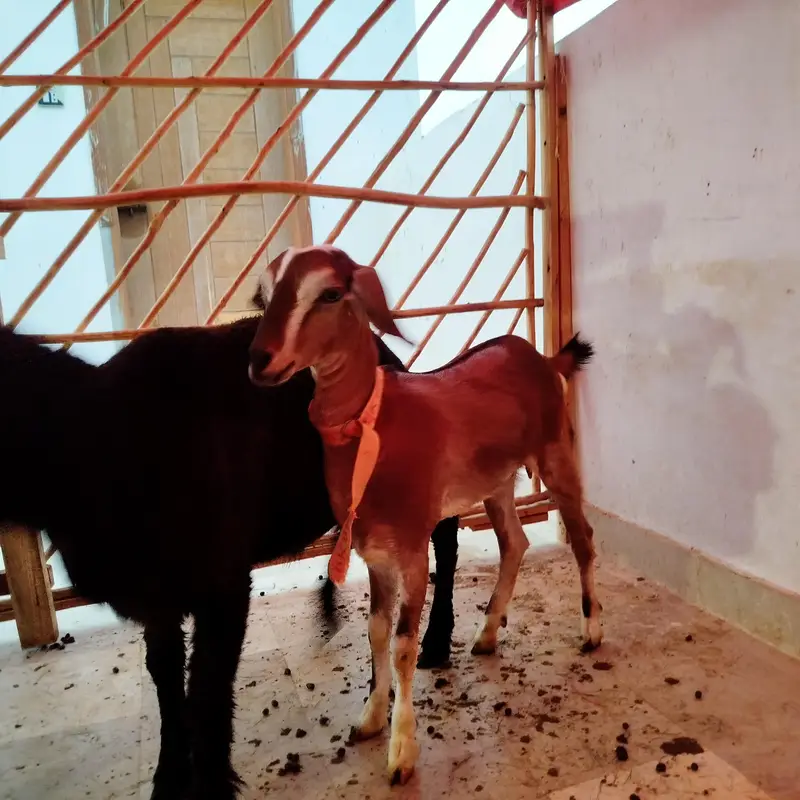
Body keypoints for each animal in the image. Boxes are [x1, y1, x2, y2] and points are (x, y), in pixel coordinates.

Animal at [0, 316, 459, 800]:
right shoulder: (156, 602)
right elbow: (165, 677)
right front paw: (168, 778)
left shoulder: (223, 589)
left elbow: (208, 683)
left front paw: (211, 783)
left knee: (445, 533)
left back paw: (435, 641)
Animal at [248, 244, 603, 785]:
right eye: (265, 295)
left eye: (331, 293)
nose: (259, 360)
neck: (376, 424)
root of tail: (542, 357)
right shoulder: (373, 551)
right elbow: (374, 631)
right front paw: (369, 721)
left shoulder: (413, 547)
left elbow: (401, 645)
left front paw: (402, 753)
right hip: (498, 482)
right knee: (515, 542)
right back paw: (485, 635)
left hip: (555, 453)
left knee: (581, 535)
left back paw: (591, 632)